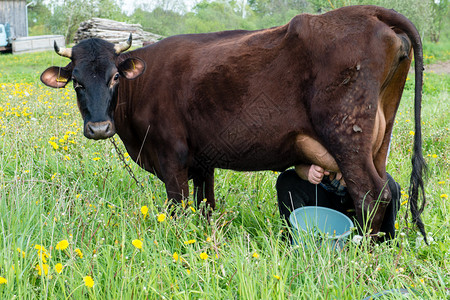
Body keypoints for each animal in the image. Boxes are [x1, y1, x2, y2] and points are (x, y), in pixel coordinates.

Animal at [40, 5, 428, 241]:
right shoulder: (201, 161)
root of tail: (367, 11)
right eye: (76, 82)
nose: (99, 128)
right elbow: (205, 206)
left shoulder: (171, 158)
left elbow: (178, 208)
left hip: (346, 136)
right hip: (378, 137)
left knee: (371, 194)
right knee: (386, 189)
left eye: (115, 78)